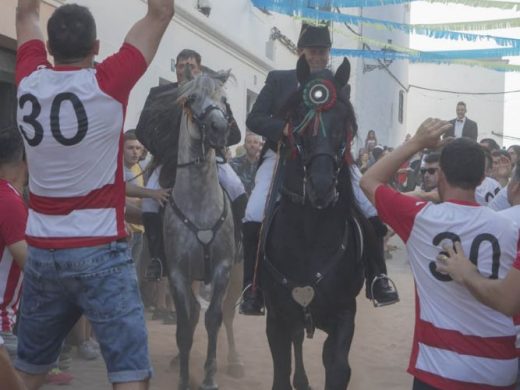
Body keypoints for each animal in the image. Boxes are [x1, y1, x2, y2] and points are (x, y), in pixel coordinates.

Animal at [264, 56, 374, 388]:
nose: (322, 186)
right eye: (299, 116)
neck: (309, 237)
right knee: (298, 340)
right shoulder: (276, 318)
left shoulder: (344, 315)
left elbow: (338, 367)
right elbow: (281, 371)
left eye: (345, 120)